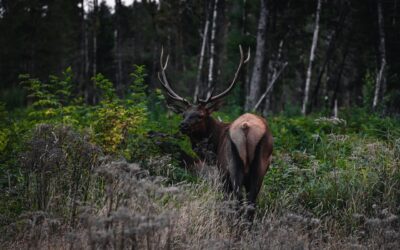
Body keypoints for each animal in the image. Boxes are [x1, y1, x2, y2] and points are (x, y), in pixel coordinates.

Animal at [158, 46, 274, 219]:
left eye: (200, 115)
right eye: (184, 114)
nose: (182, 125)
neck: (215, 143)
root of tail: (246, 128)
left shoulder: (221, 172)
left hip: (232, 165)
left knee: (238, 199)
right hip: (260, 166)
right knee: (251, 203)